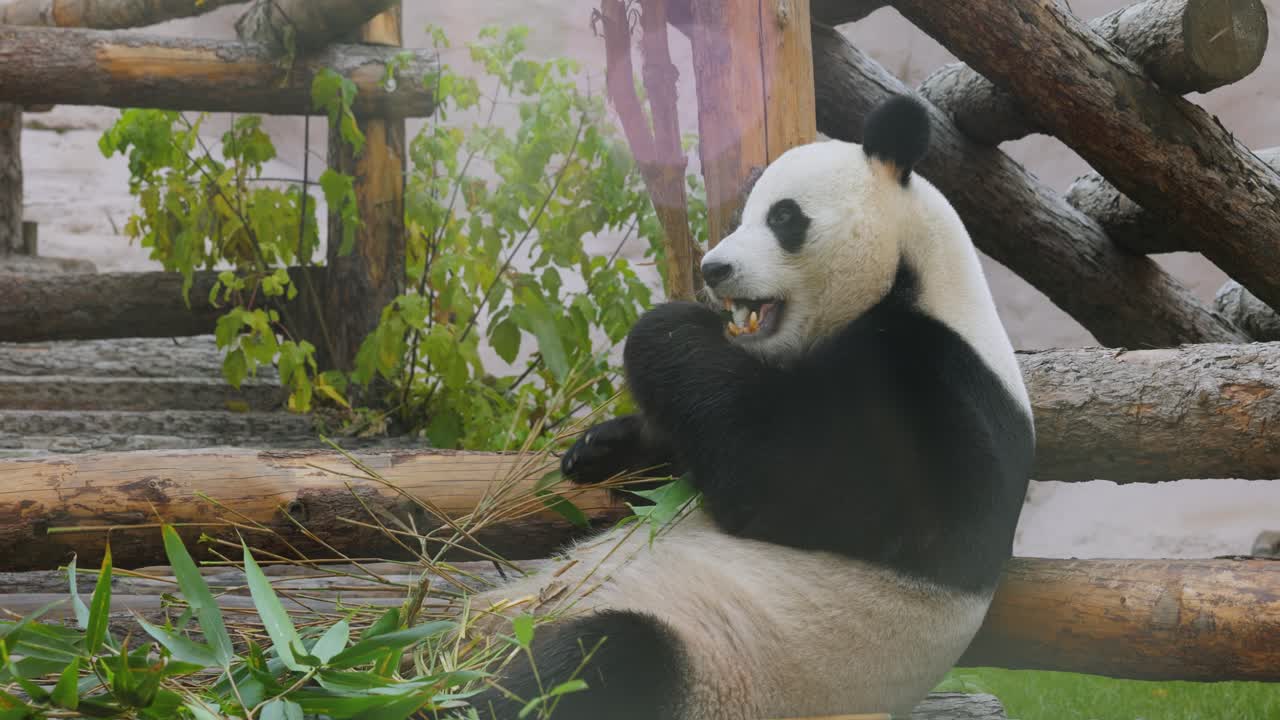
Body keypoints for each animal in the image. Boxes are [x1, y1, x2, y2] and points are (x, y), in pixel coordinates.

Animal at [457, 95, 1035, 720]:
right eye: (740, 218)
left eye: (783, 218)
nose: (713, 269)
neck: (916, 277)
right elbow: (682, 466)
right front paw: (598, 448)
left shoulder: (938, 400)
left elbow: (787, 474)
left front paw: (664, 327)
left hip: (709, 666)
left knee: (603, 660)